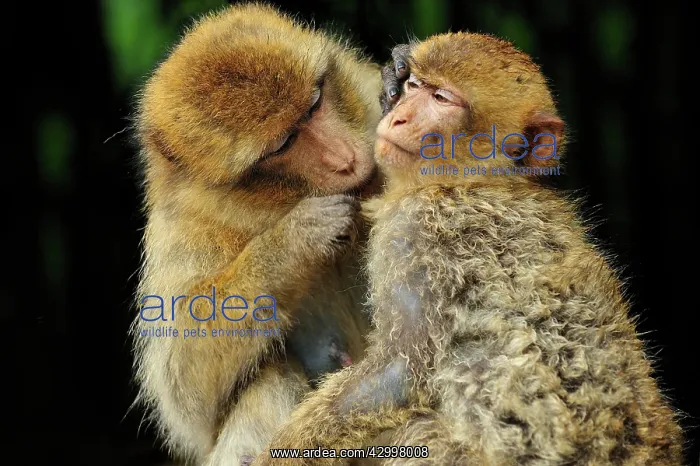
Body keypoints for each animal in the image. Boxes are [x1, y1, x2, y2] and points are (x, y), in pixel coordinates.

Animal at [131, 3, 385, 465]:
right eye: (284, 143)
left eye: (315, 104)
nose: (346, 159)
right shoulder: (183, 233)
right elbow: (182, 392)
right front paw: (291, 243)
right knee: (266, 381)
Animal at [251, 32, 684, 466]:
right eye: (415, 87)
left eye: (442, 99)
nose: (399, 116)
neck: (470, 183)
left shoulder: (415, 233)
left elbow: (398, 374)